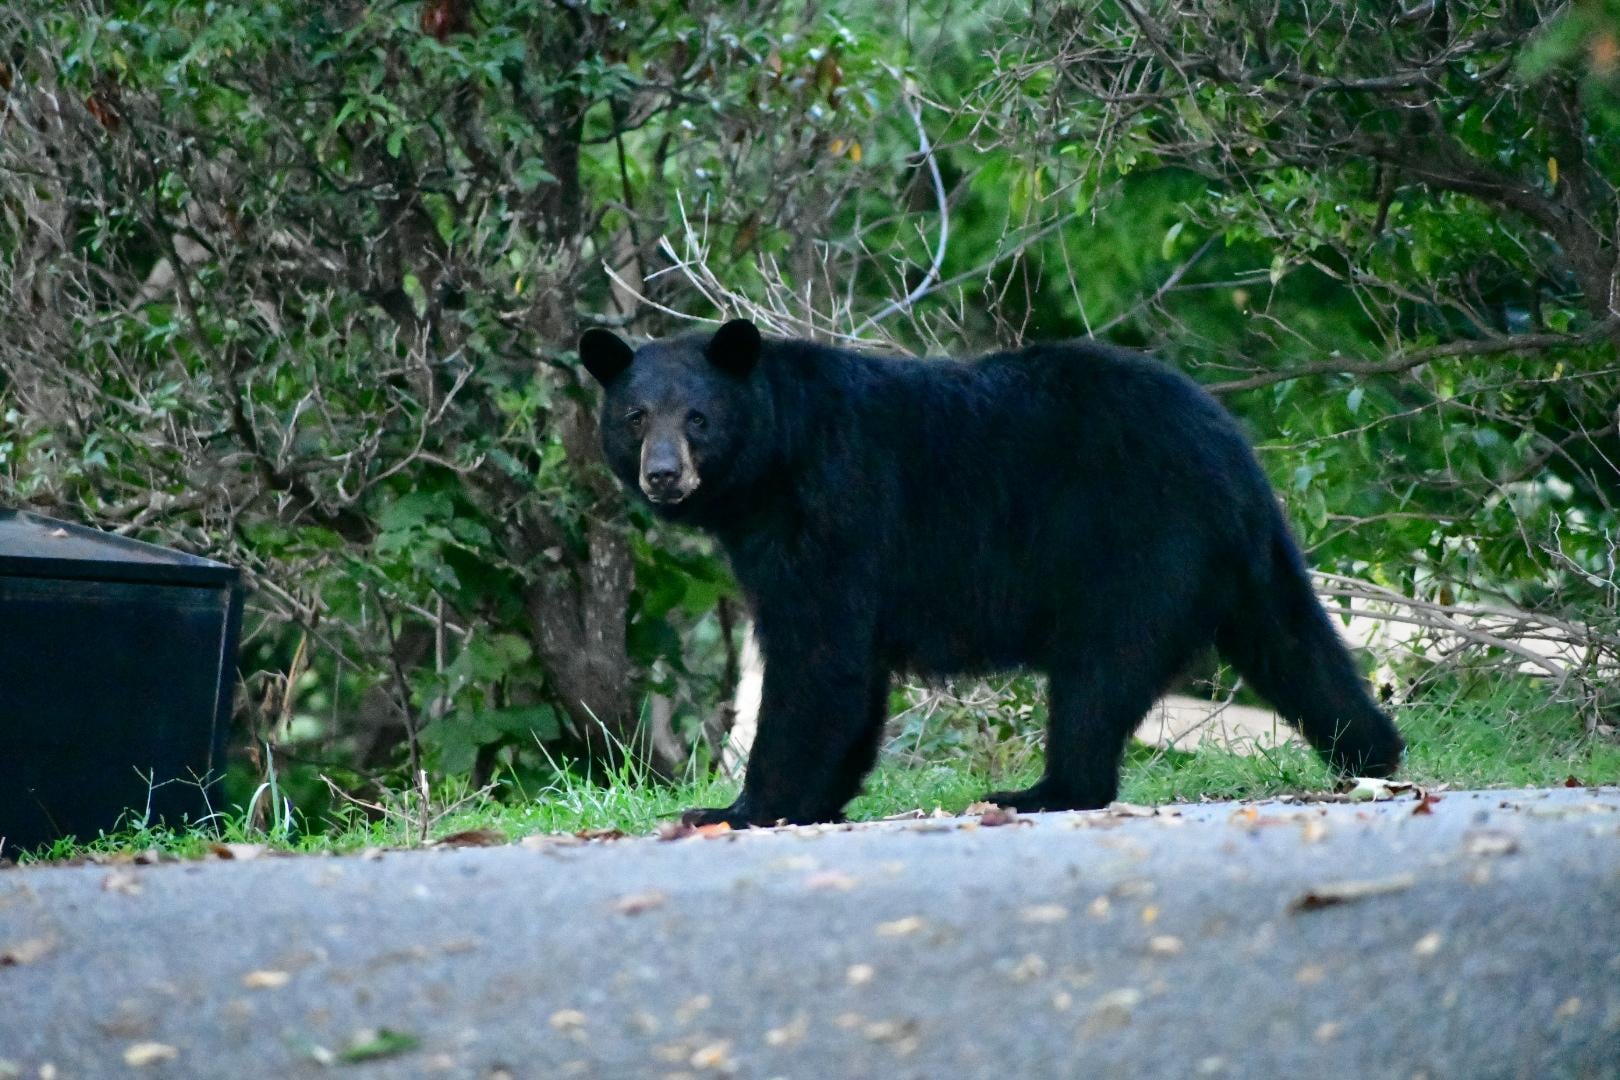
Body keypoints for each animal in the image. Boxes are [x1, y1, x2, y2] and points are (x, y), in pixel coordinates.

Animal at [579, 318, 1404, 827]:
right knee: (1297, 646)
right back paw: (1374, 754)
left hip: (1137, 548)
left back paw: (1044, 790)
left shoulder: (837, 511)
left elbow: (819, 663)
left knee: (1098, 677)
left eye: (697, 418)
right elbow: (853, 678)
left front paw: (740, 809)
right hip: (1241, 562)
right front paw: (814, 799)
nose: (662, 475)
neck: (774, 467)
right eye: (634, 416)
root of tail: (1234, 455)